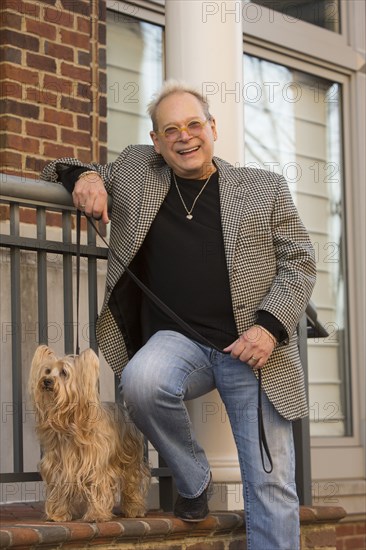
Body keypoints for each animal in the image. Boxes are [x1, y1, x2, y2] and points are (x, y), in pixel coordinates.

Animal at [27, 348, 149, 524]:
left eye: (64, 372)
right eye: (48, 371)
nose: (47, 381)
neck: (69, 421)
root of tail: (121, 406)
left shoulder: (96, 464)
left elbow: (97, 486)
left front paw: (96, 515)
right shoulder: (59, 465)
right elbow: (59, 487)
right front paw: (58, 514)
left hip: (130, 456)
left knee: (132, 482)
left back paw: (134, 509)